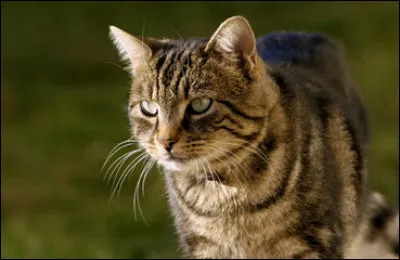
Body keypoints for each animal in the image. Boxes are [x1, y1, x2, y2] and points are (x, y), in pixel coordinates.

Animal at [106, 15, 396, 258]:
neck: (224, 193)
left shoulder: (311, 243)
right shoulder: (203, 247)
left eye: (200, 105)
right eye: (148, 108)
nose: (165, 142)